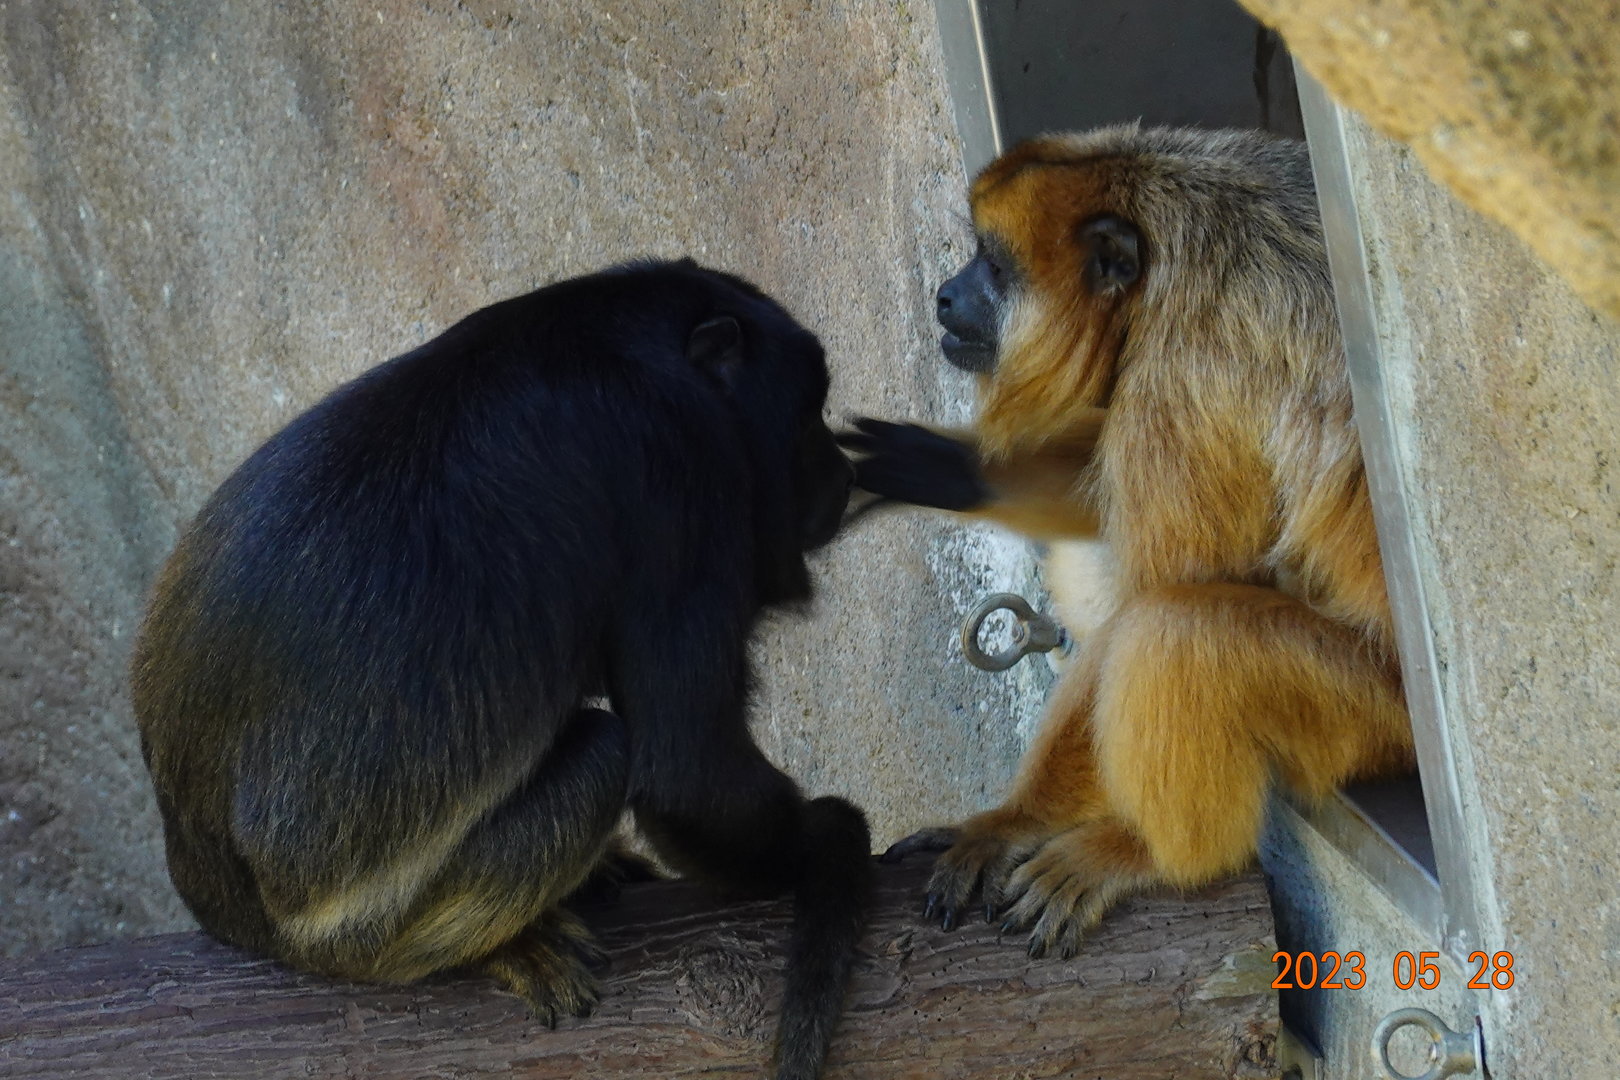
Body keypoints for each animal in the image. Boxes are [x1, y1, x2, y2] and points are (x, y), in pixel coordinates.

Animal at [131, 259, 871, 1080]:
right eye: (808, 416)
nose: (842, 472)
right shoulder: (681, 471)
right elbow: (688, 772)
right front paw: (828, 839)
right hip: (350, 940)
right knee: (601, 752)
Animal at [843, 125, 1415, 958]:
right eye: (973, 256)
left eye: (993, 265)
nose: (944, 294)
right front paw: (942, 468)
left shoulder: (1183, 384)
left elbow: (1153, 597)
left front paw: (1011, 824)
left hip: (1379, 714)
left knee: (1179, 629)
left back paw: (1153, 854)